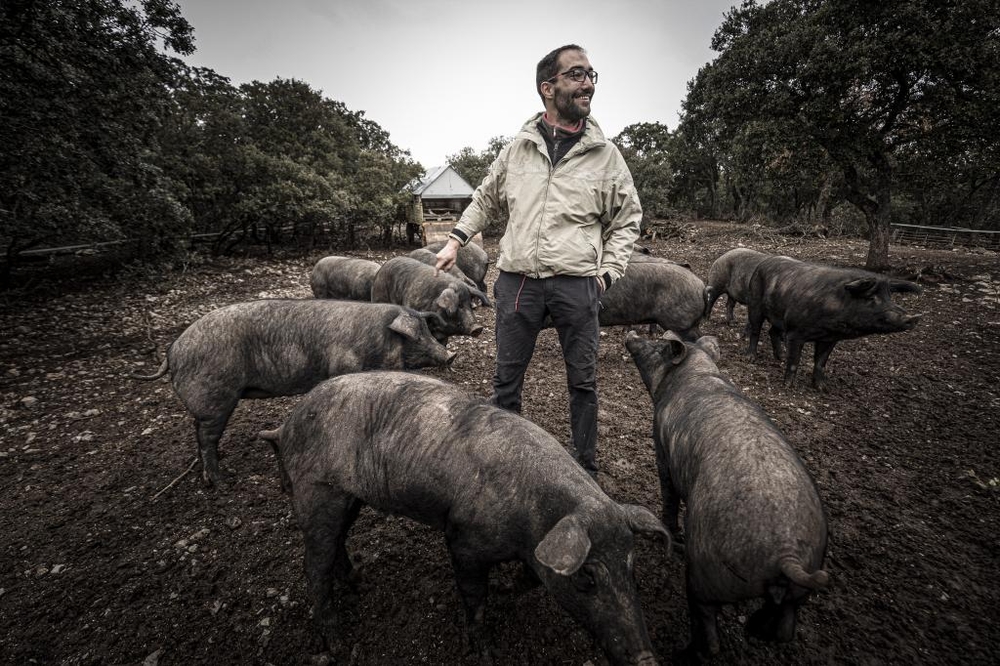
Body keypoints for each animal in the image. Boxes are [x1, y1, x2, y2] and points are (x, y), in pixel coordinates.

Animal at [129, 300, 454, 482]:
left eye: (428, 331)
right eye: (417, 337)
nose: (450, 355)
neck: (379, 340)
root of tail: (172, 351)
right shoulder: (343, 365)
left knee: (200, 436)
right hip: (214, 399)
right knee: (206, 438)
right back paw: (223, 481)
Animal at [264, 370, 672, 660]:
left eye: (631, 565)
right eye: (587, 577)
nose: (646, 659)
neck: (532, 519)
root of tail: (286, 424)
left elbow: (530, 579)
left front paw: (507, 588)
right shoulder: (463, 541)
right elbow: (475, 598)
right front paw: (487, 653)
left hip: (347, 497)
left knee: (337, 544)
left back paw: (359, 582)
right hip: (317, 491)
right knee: (313, 566)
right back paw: (337, 645)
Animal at [624, 330, 828, 660]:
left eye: (659, 345)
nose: (632, 333)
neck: (695, 372)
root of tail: (787, 553)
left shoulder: (661, 449)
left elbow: (668, 493)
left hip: (707, 571)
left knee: (709, 630)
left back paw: (683, 653)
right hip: (803, 583)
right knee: (784, 627)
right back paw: (753, 630)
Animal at [744, 256, 920, 386]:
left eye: (890, 297)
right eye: (871, 298)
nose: (914, 318)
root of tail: (763, 263)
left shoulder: (831, 338)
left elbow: (821, 362)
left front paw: (822, 388)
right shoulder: (795, 332)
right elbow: (795, 360)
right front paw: (788, 386)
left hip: (778, 315)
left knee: (772, 331)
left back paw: (780, 358)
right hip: (755, 303)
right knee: (755, 330)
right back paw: (750, 358)